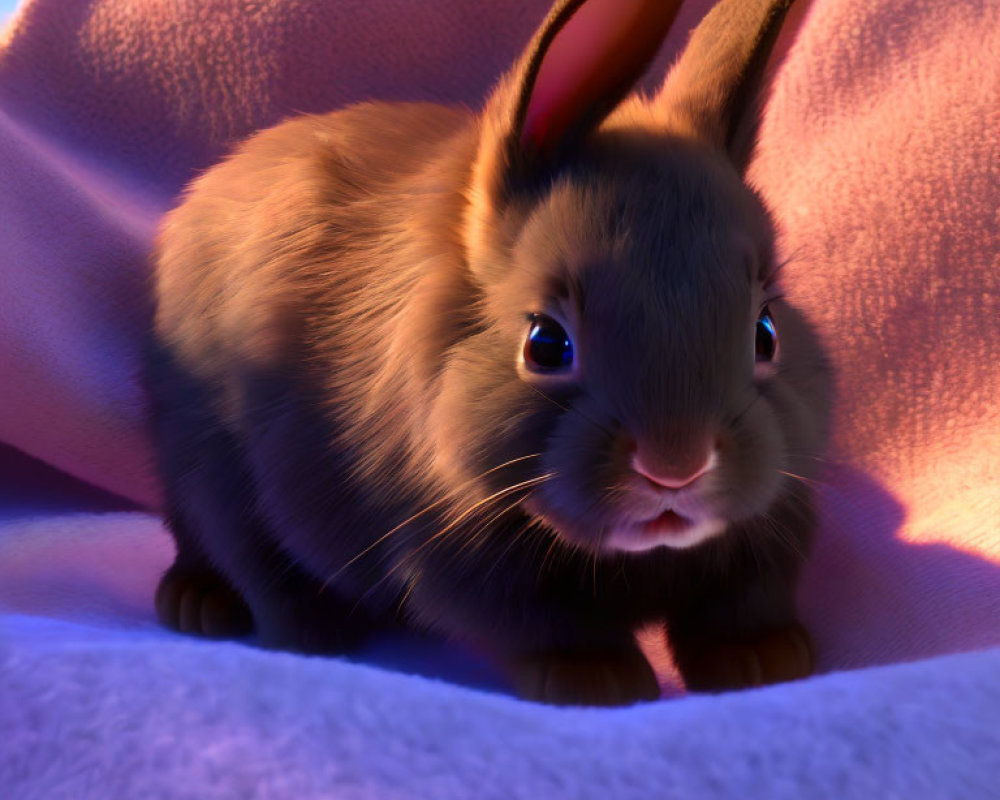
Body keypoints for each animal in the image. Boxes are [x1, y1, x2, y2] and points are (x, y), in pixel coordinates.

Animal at [145, 0, 832, 704]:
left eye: (766, 332)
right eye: (545, 344)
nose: (675, 466)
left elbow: (741, 603)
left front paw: (762, 661)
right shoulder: (455, 548)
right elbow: (542, 620)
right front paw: (599, 680)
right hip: (208, 458)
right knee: (235, 548)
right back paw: (257, 619)